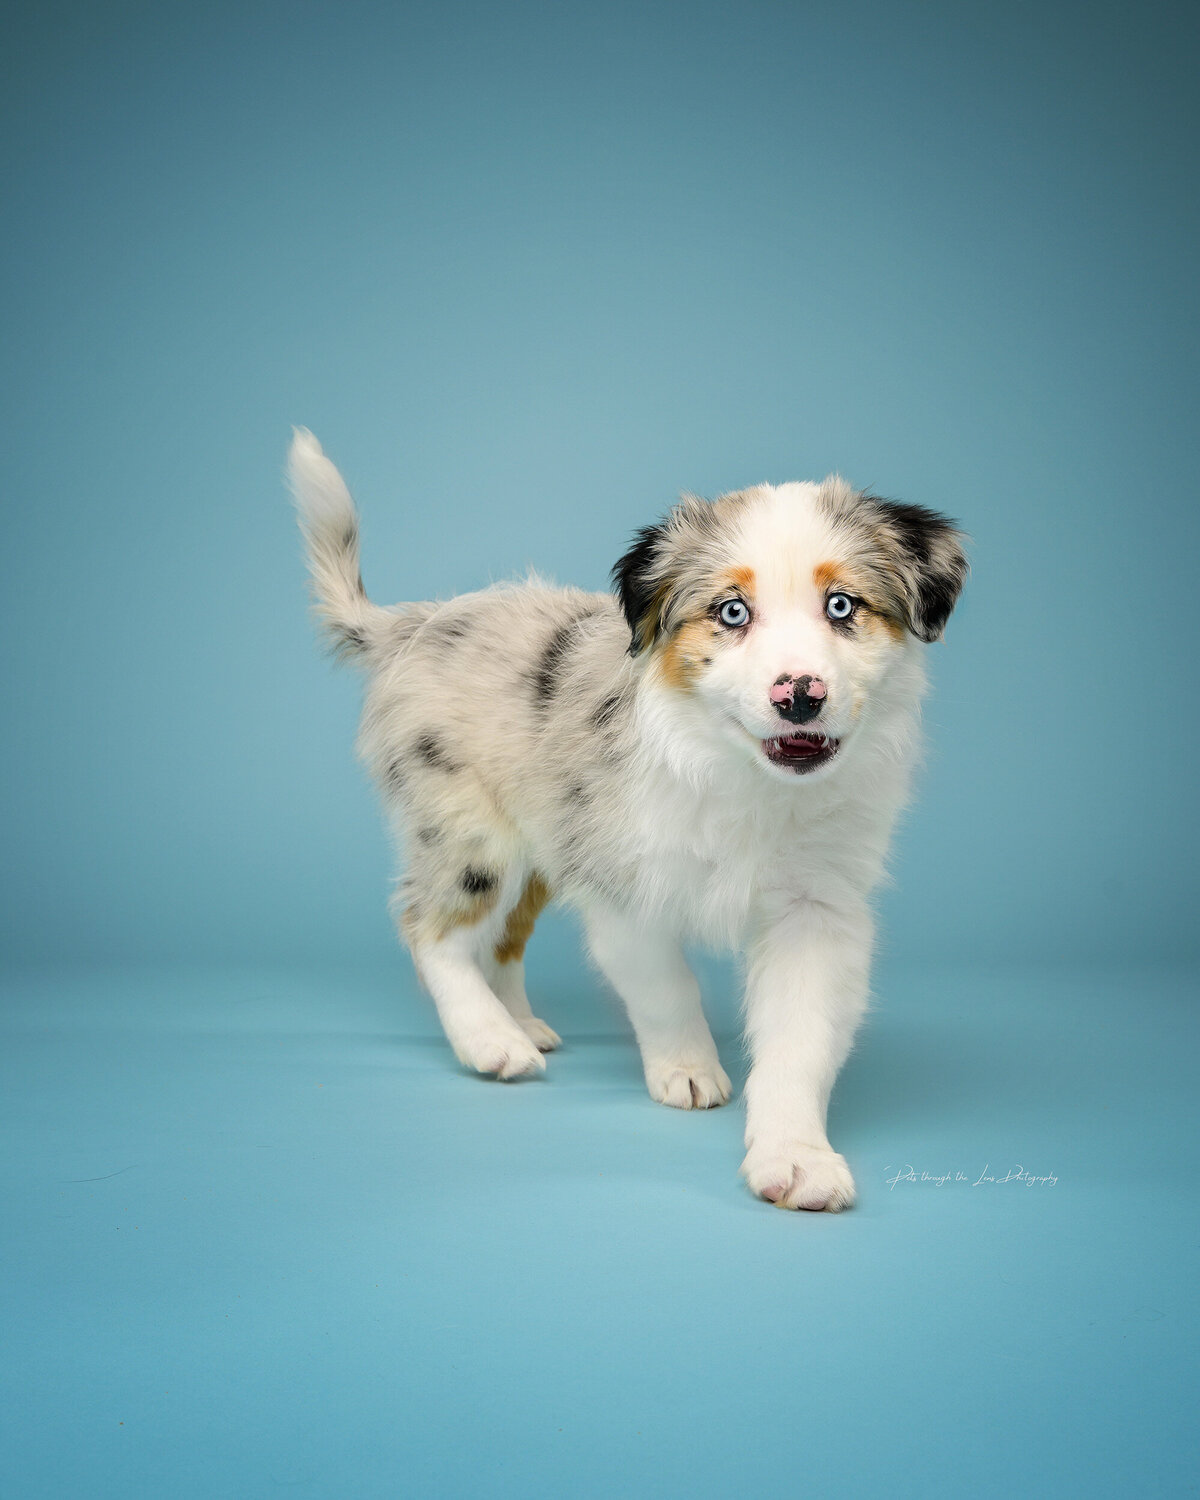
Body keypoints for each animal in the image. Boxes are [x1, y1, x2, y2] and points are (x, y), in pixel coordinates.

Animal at [288, 432, 966, 1206]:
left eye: (843, 605)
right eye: (732, 613)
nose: (799, 695)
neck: (742, 776)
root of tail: (414, 622)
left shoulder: (816, 910)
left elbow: (800, 1040)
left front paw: (796, 1157)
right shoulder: (621, 886)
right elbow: (666, 987)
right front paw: (688, 1070)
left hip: (536, 842)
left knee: (502, 938)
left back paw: (518, 1021)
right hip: (469, 833)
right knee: (429, 927)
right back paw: (490, 1041)